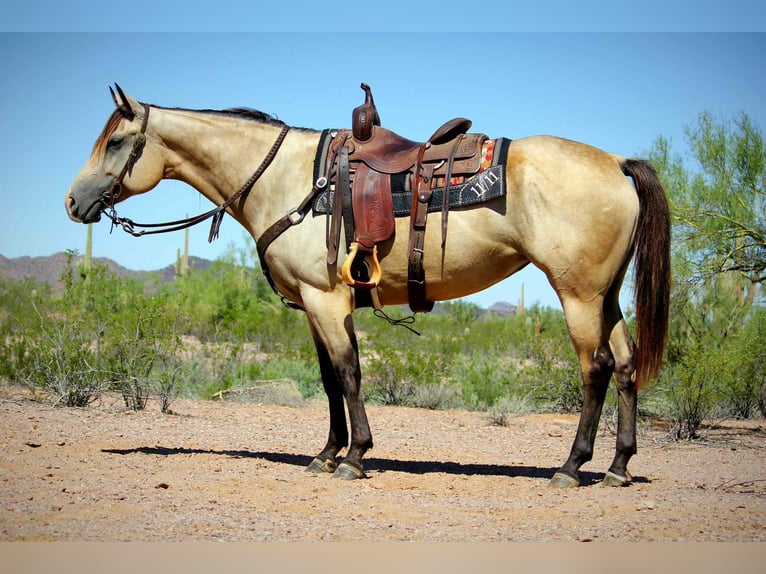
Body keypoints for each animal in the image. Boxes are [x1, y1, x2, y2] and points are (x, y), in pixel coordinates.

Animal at [65, 85, 670, 488]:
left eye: (117, 141)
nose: (73, 201)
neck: (287, 178)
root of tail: (617, 163)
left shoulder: (326, 298)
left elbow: (350, 373)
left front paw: (355, 457)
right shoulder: (313, 305)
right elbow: (329, 379)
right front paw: (327, 453)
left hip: (578, 295)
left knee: (595, 368)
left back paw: (571, 466)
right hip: (605, 295)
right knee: (625, 364)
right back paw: (619, 467)